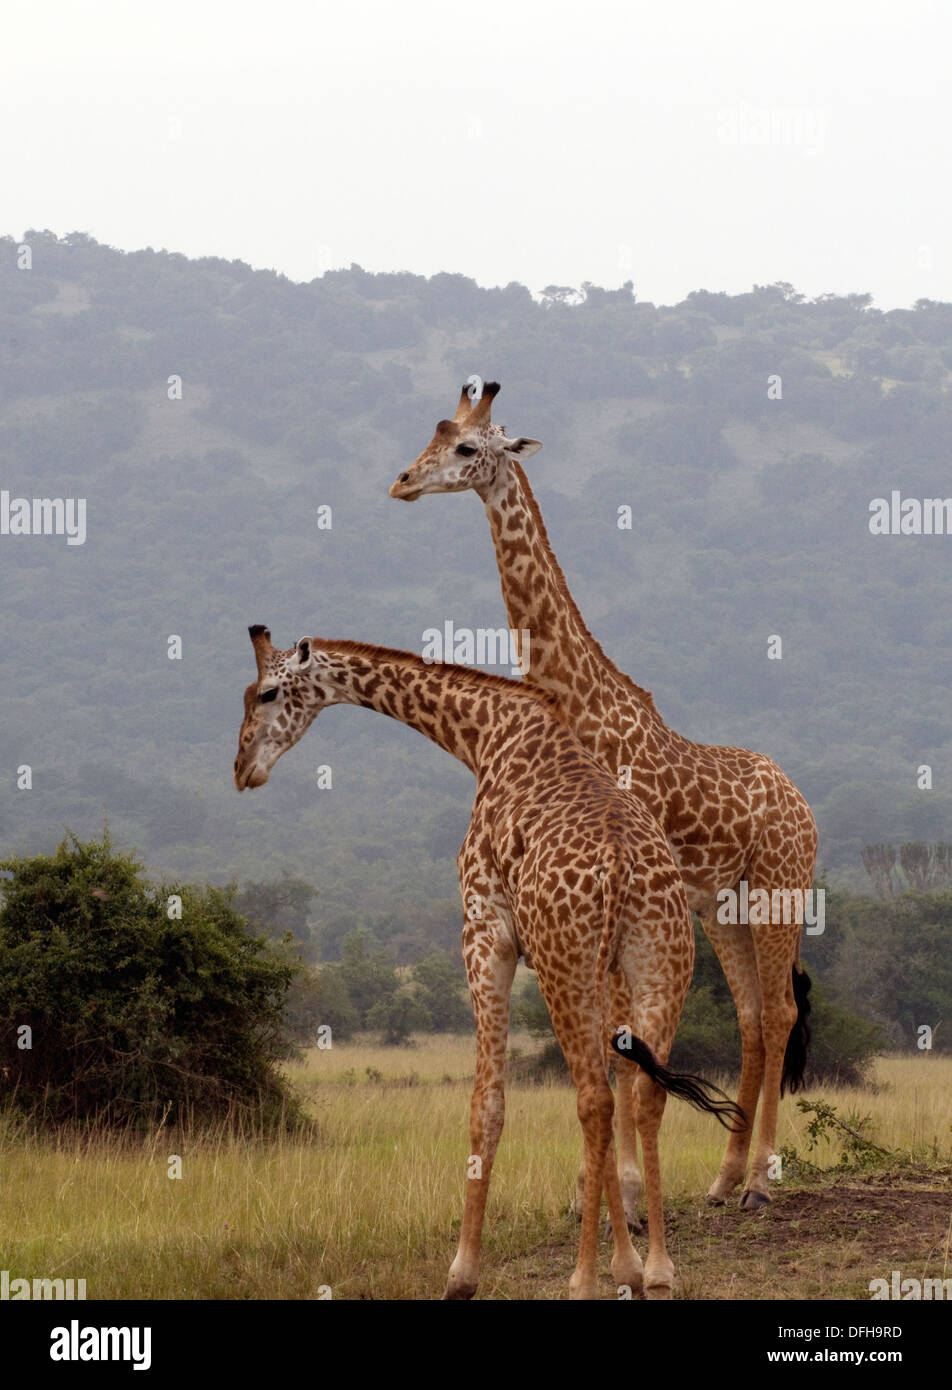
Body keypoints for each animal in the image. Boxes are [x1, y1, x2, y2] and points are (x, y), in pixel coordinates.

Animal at [234, 626, 743, 1299]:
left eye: (265, 693)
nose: (242, 768)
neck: (484, 736)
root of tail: (622, 866)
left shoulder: (485, 934)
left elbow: (487, 1105)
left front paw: (462, 1274)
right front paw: (629, 1266)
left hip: (563, 962)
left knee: (594, 1100)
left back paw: (581, 1281)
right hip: (662, 961)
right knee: (642, 1094)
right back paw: (659, 1272)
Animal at [389, 381, 818, 1212]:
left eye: (467, 447)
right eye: (431, 435)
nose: (402, 483)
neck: (578, 704)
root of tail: (803, 802)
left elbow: (623, 1047)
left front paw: (621, 1186)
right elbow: (616, 1044)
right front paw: (604, 1188)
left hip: (779, 886)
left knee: (781, 1011)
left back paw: (762, 1180)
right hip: (722, 905)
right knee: (754, 1017)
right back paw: (722, 1179)